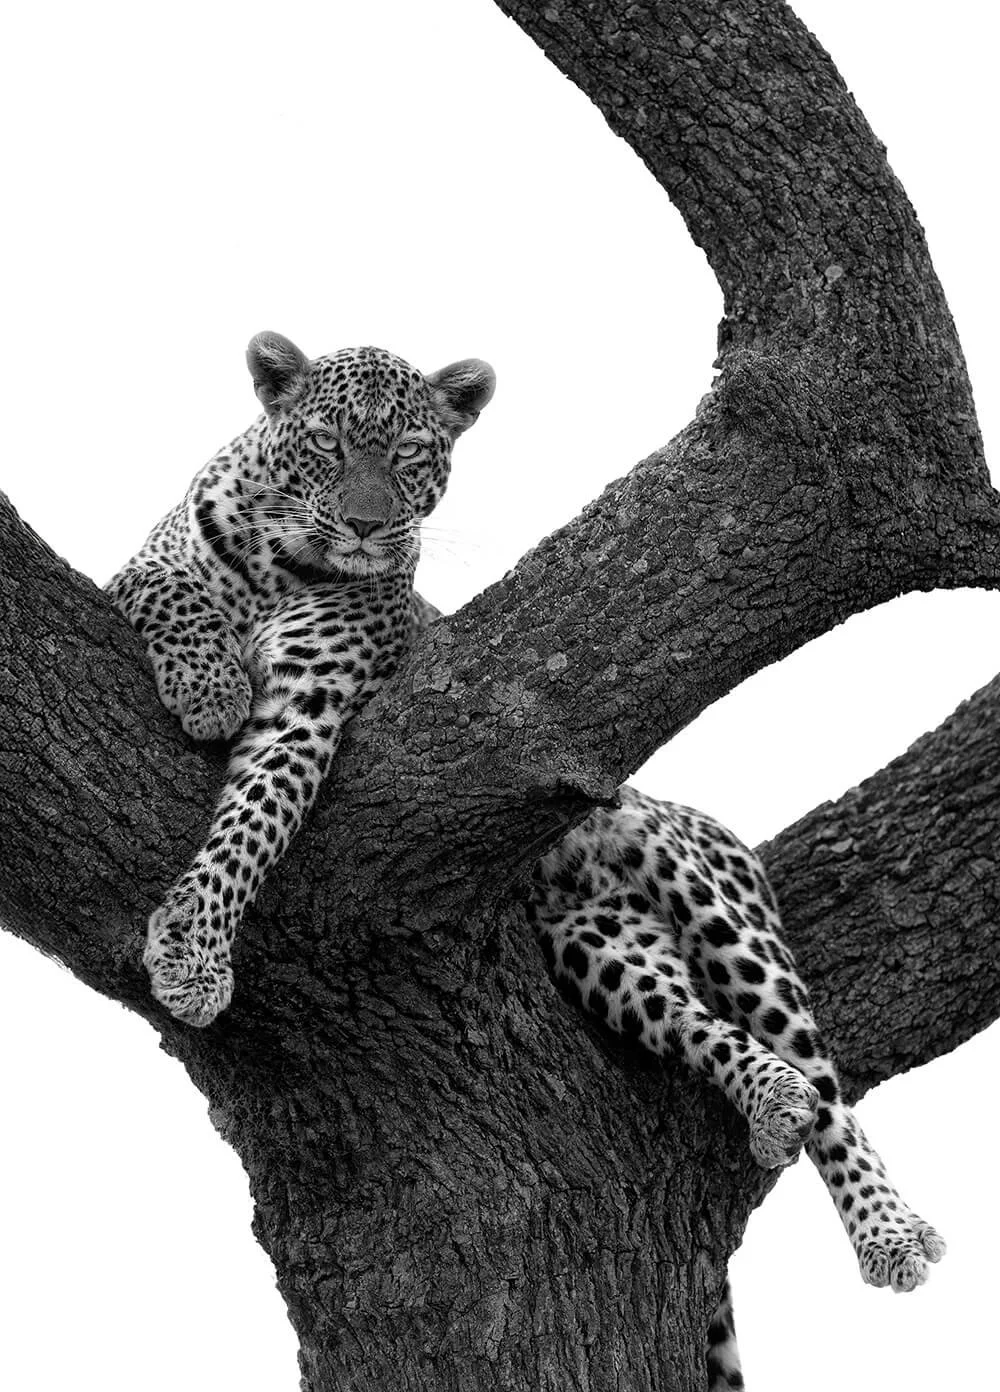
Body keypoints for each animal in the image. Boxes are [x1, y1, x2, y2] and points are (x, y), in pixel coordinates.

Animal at [107, 331, 495, 1028]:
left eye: (408, 451)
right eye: (325, 442)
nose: (365, 525)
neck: (283, 568)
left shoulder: (306, 707)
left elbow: (252, 828)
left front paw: (194, 956)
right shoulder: (138, 567)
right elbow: (177, 592)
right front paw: (211, 688)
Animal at [527, 786, 946, 1389]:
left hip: (695, 890)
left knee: (826, 1092)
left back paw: (884, 1229)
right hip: (592, 934)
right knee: (682, 1015)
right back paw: (773, 1102)